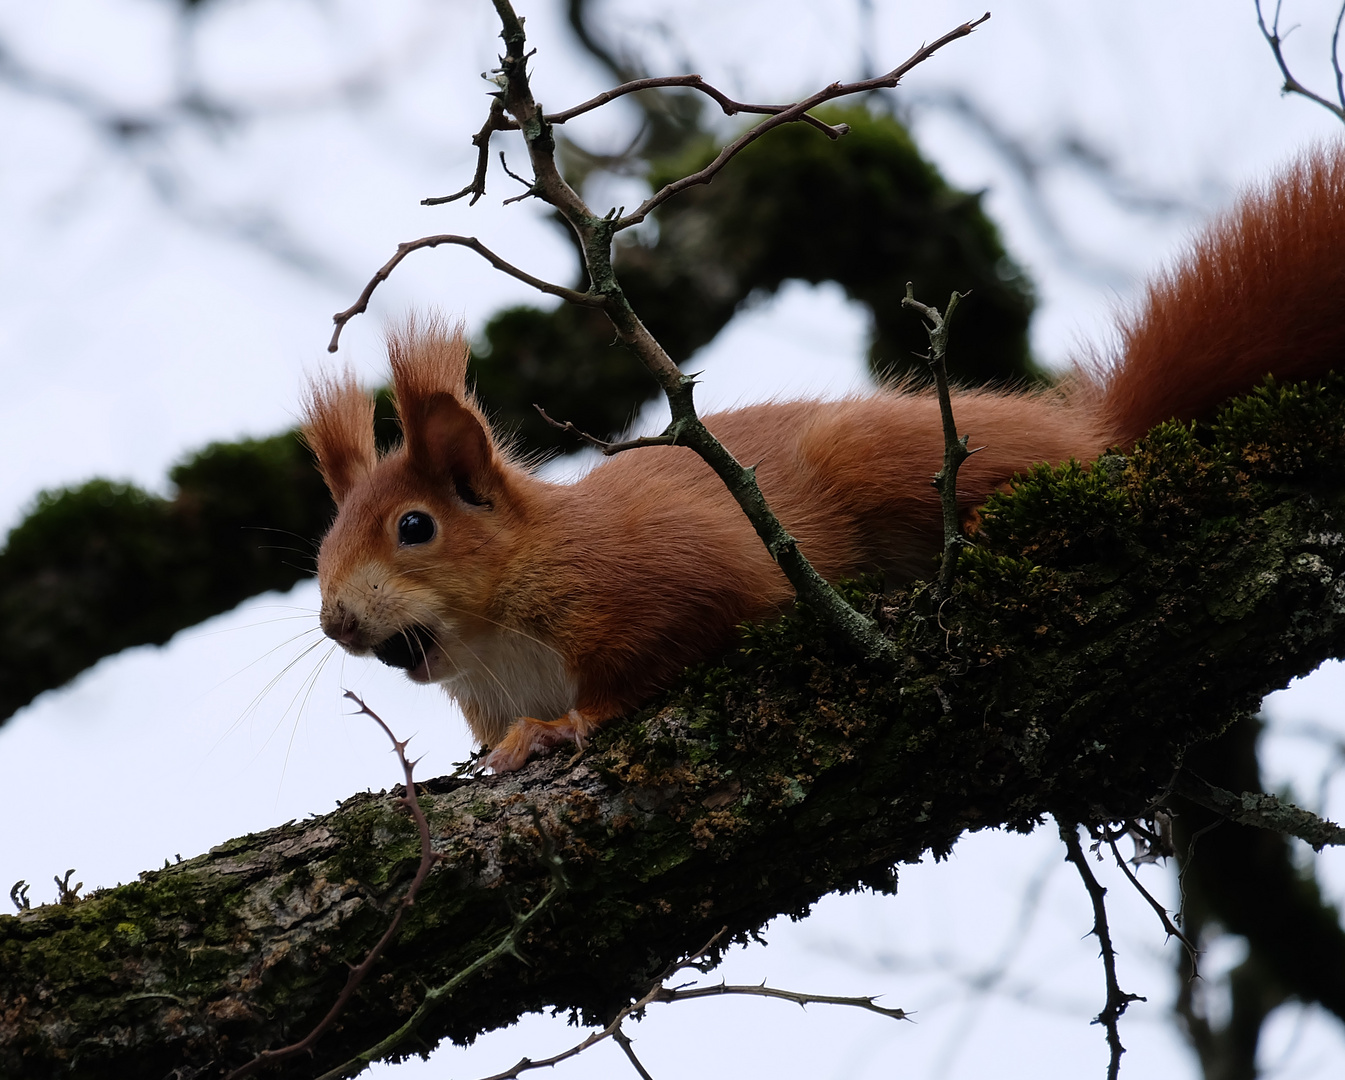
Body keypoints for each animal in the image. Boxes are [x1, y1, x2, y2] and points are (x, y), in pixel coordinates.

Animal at [308, 147, 1345, 774]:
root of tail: (1100, 439)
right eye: (323, 544)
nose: (333, 621)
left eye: (414, 527)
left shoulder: (658, 569)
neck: (496, 639)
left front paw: (560, 726)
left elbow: (660, 645)